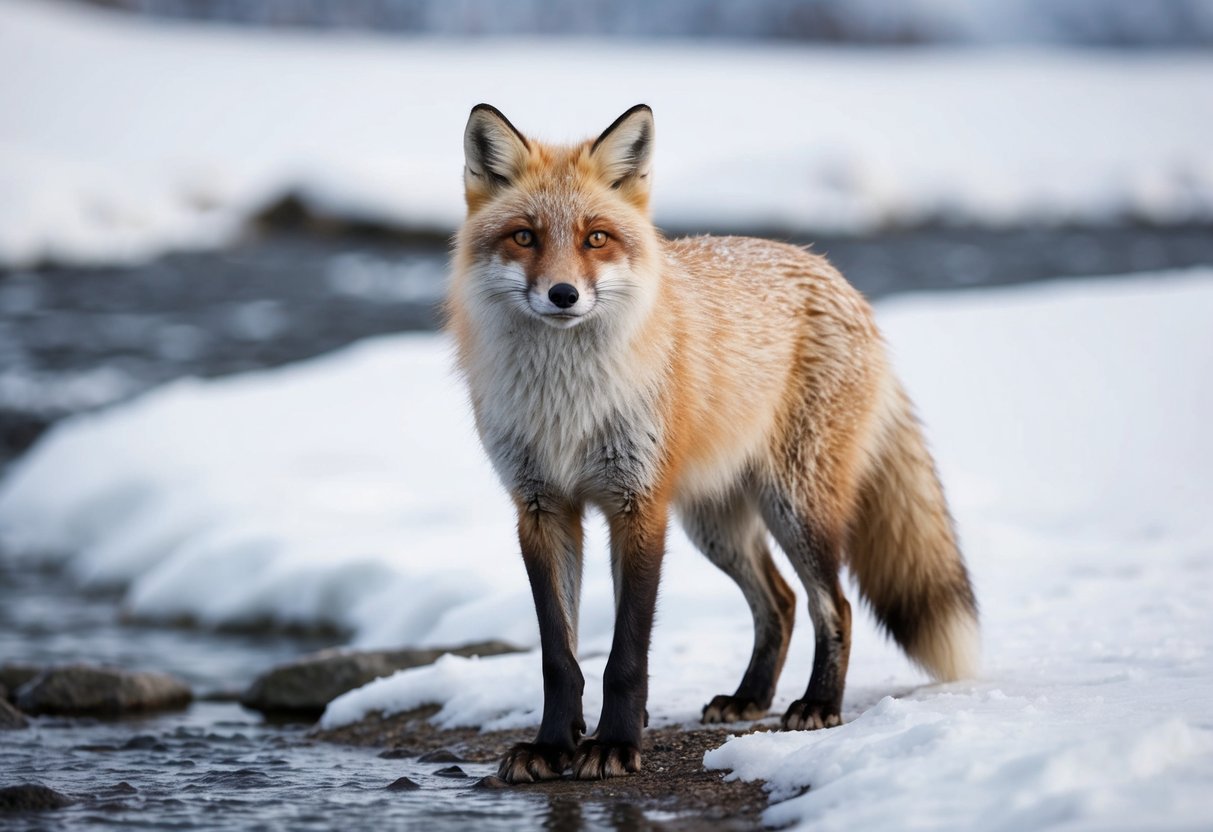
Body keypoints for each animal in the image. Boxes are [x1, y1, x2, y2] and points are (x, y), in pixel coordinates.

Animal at [446, 103, 979, 783]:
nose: (563, 295)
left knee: (833, 605)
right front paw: (552, 746)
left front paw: (614, 744)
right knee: (779, 602)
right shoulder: (541, 508)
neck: (567, 404)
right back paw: (750, 696)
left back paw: (817, 705)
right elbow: (558, 656)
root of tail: (835, 275)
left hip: (796, 506)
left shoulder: (638, 505)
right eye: (524, 237)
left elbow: (626, 655)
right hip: (716, 524)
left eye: (596, 238)